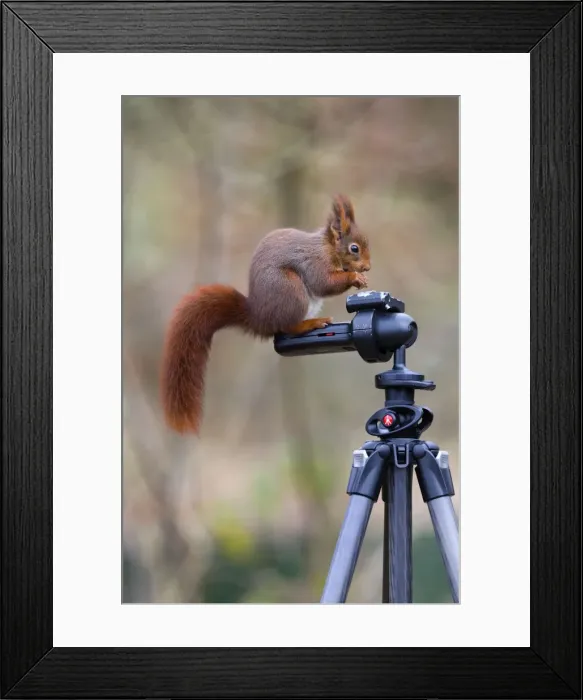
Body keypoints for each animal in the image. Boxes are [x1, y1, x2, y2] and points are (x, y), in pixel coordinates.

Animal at [160, 194, 371, 435]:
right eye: (354, 248)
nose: (367, 267)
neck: (327, 247)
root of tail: (259, 318)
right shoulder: (314, 262)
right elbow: (323, 283)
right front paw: (354, 277)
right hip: (291, 290)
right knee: (286, 327)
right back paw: (311, 324)